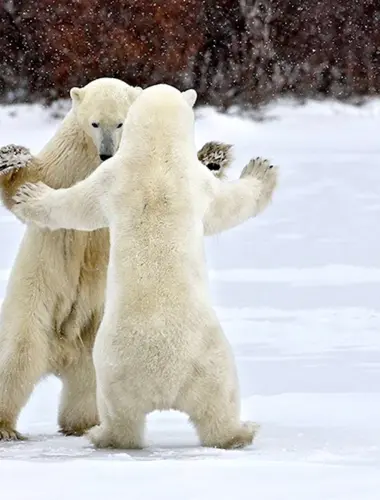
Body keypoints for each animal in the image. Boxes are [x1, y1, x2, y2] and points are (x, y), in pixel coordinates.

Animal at [12, 83, 280, 450]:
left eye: (119, 123)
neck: (157, 152)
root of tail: (163, 383)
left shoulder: (118, 177)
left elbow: (79, 205)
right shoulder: (149, 178)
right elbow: (229, 206)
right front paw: (261, 170)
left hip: (136, 369)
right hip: (177, 364)